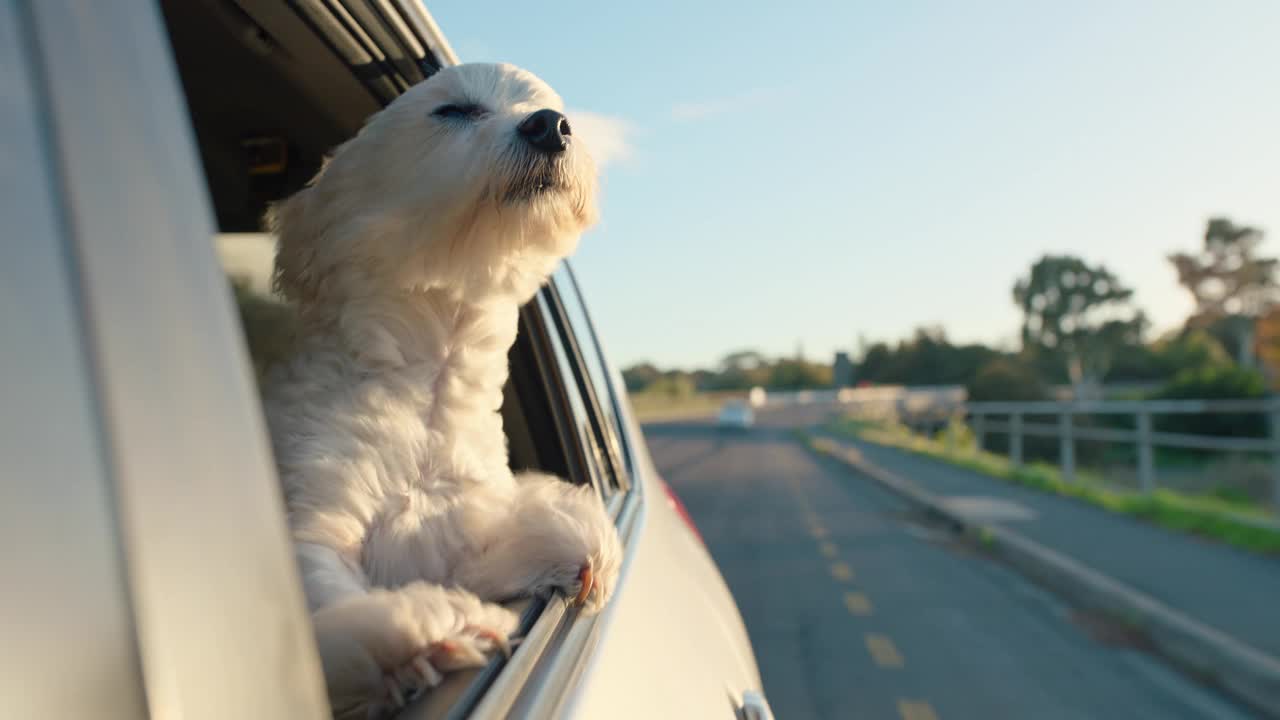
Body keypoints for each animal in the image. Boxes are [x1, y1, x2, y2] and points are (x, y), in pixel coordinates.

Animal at [262, 64, 622, 712]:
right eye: (453, 110)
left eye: (550, 108)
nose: (550, 126)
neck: (430, 375)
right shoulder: (311, 508)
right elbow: (325, 584)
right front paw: (419, 632)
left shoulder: (455, 530)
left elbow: (497, 547)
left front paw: (574, 538)